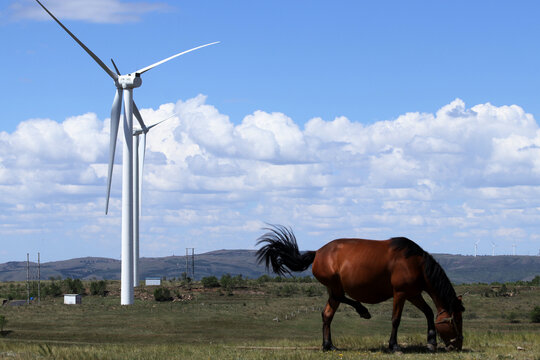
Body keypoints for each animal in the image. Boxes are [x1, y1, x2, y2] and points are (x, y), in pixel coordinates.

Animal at [256, 225, 464, 352]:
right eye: (455, 321)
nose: (459, 344)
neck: (415, 263)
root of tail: (317, 253)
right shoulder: (400, 293)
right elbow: (396, 320)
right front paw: (394, 346)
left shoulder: (413, 294)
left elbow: (429, 312)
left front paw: (431, 343)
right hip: (335, 286)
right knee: (339, 300)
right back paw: (362, 311)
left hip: (333, 289)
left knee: (327, 314)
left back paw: (328, 345)